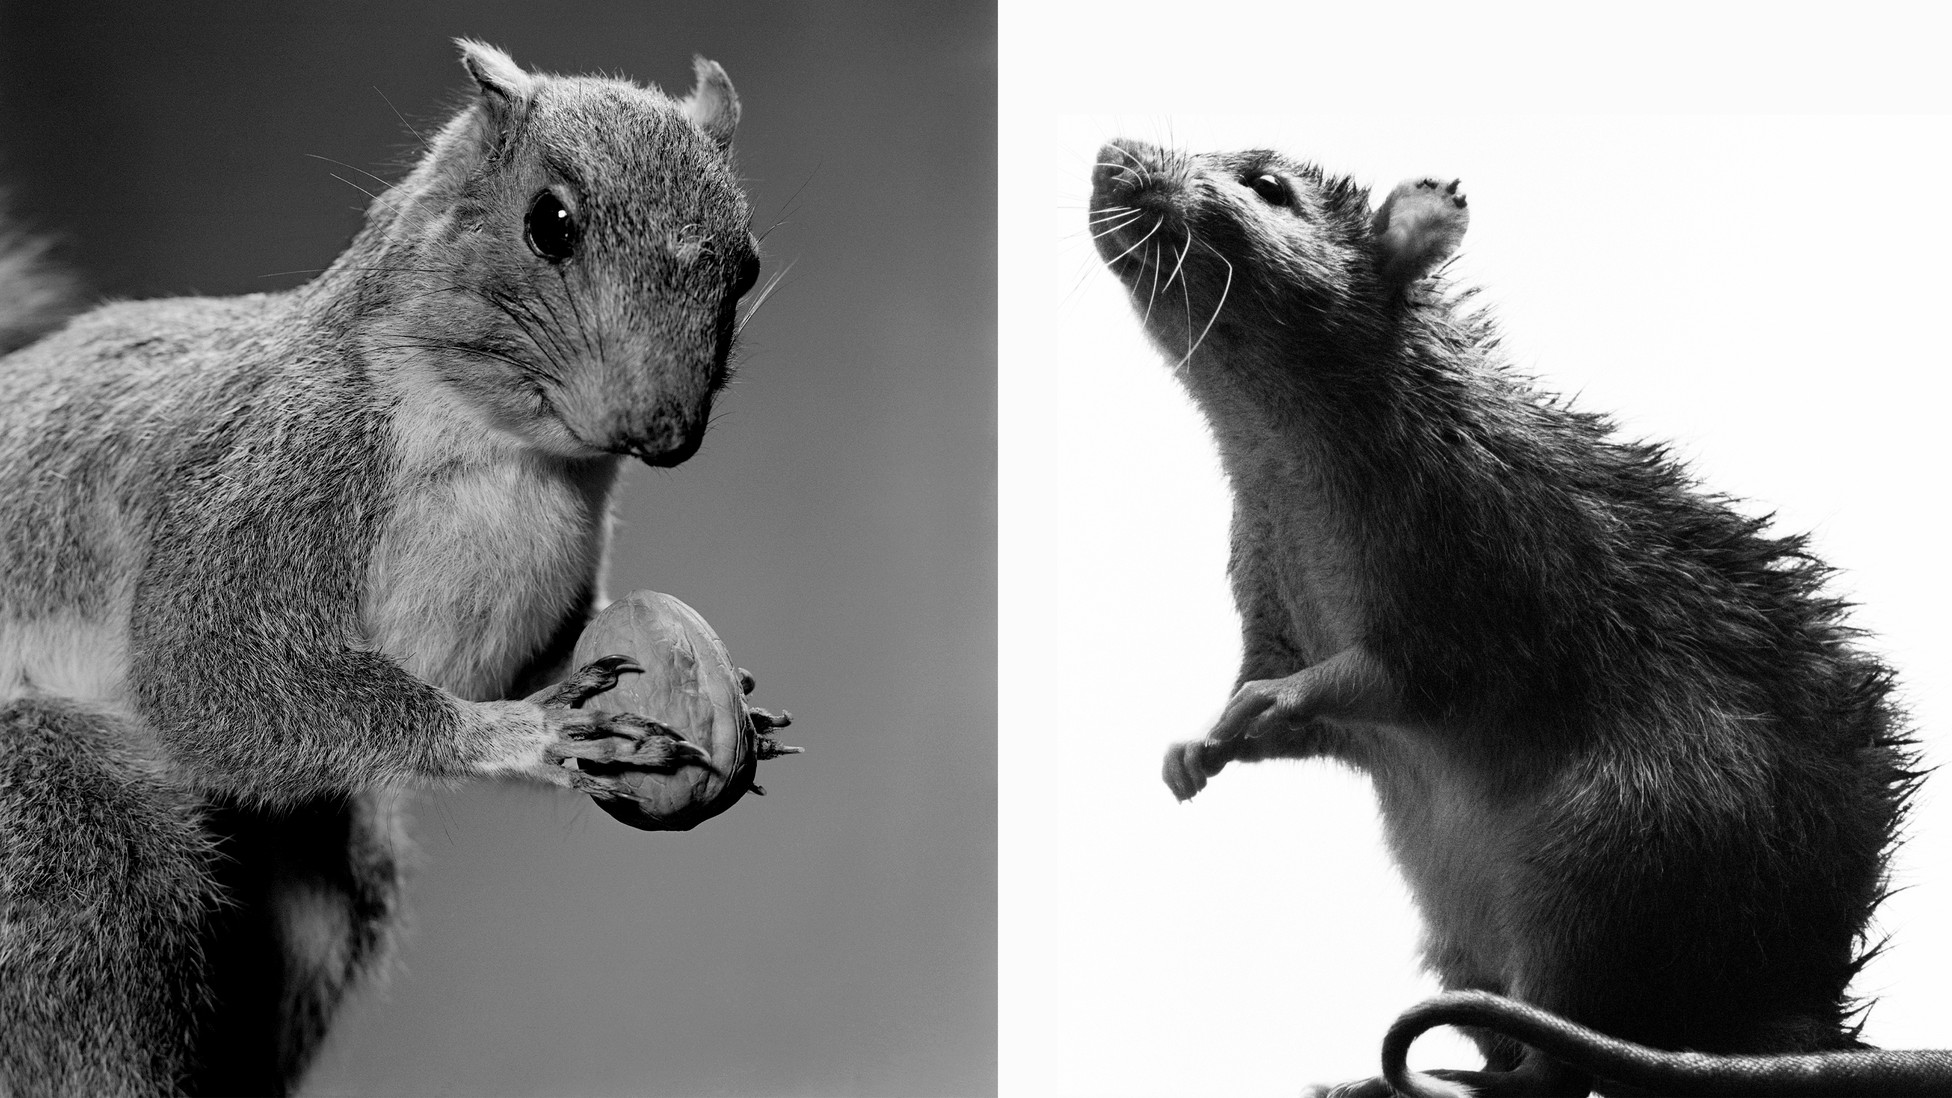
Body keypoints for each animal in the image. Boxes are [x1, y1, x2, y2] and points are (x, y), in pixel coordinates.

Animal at [0, 41, 786, 1097]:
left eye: (746, 265)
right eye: (551, 223)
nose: (666, 431)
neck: (505, 456)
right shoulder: (270, 476)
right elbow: (210, 673)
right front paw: (520, 734)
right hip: (65, 837)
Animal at [1090, 139, 1952, 1096]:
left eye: (1268, 188)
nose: (1112, 156)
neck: (1274, 450)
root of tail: (1764, 1025)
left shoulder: (1478, 548)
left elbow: (1398, 679)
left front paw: (1264, 705)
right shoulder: (1270, 594)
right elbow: (1288, 702)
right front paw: (1197, 747)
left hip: (1603, 861)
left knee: (1555, 1065)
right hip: (1465, 940)